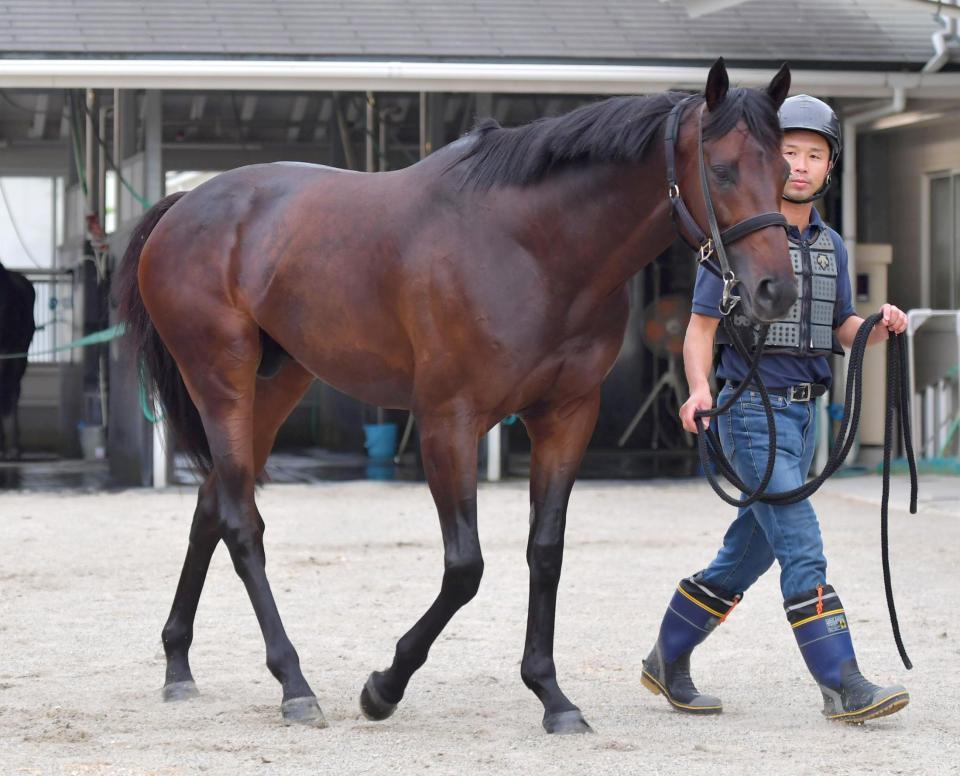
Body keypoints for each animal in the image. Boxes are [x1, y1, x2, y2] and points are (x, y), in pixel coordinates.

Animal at [116, 58, 797, 734]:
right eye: (722, 169)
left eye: (787, 170)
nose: (776, 291)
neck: (532, 248)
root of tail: (183, 205)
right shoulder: (449, 421)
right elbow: (466, 567)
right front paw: (383, 688)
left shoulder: (566, 417)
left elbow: (545, 551)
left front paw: (552, 695)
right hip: (221, 381)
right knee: (241, 523)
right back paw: (294, 685)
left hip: (277, 383)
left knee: (211, 506)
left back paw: (178, 664)